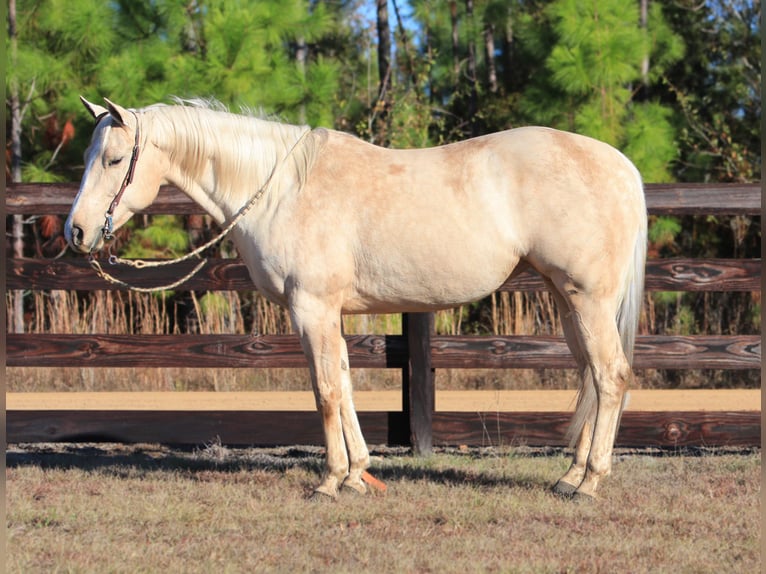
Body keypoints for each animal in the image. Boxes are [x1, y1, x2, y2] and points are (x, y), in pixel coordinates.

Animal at [65, 97, 647, 501]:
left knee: (611, 375)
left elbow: (324, 390)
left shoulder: (311, 309)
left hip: (587, 300)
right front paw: (359, 475)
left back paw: (588, 482)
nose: (77, 231)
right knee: (592, 377)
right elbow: (343, 384)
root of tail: (620, 166)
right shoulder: (329, 314)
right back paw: (570, 476)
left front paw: (331, 481)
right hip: (568, 301)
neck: (283, 191)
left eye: (114, 159)